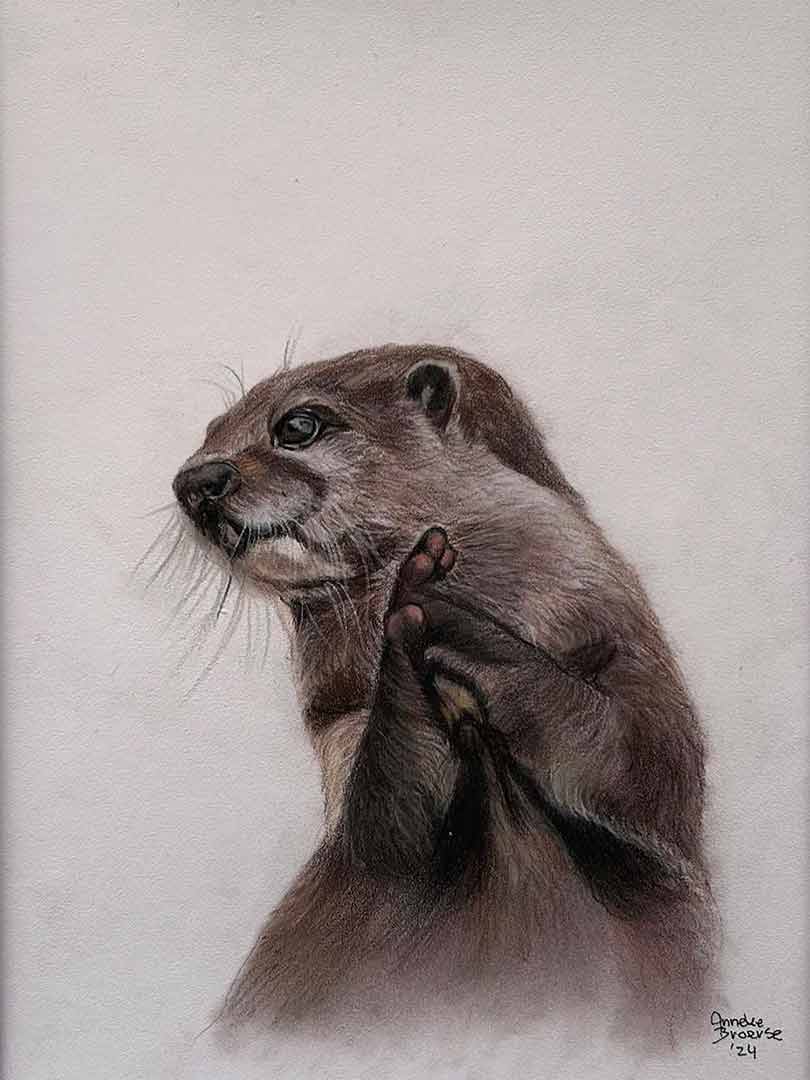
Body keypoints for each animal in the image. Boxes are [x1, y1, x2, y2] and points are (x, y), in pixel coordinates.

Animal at [170, 344, 714, 1032]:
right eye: (211, 431)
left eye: (298, 425)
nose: (194, 483)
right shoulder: (342, 723)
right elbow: (384, 842)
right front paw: (416, 607)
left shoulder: (625, 645)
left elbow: (643, 770)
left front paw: (452, 616)